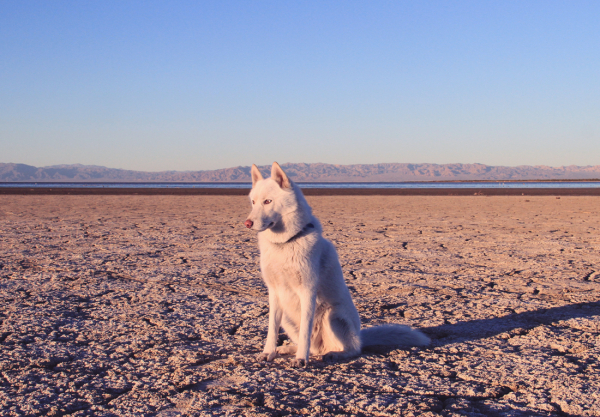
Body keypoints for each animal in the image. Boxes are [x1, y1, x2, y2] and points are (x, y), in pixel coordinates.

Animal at [245, 162, 432, 368]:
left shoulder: (308, 289)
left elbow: (305, 332)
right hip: (288, 318)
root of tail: (360, 336)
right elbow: (272, 329)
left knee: (352, 349)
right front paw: (268, 352)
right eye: (253, 202)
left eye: (268, 201)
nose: (247, 223)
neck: (285, 243)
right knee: (313, 347)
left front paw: (301, 359)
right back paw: (288, 349)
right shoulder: (274, 291)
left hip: (333, 315)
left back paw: (334, 354)